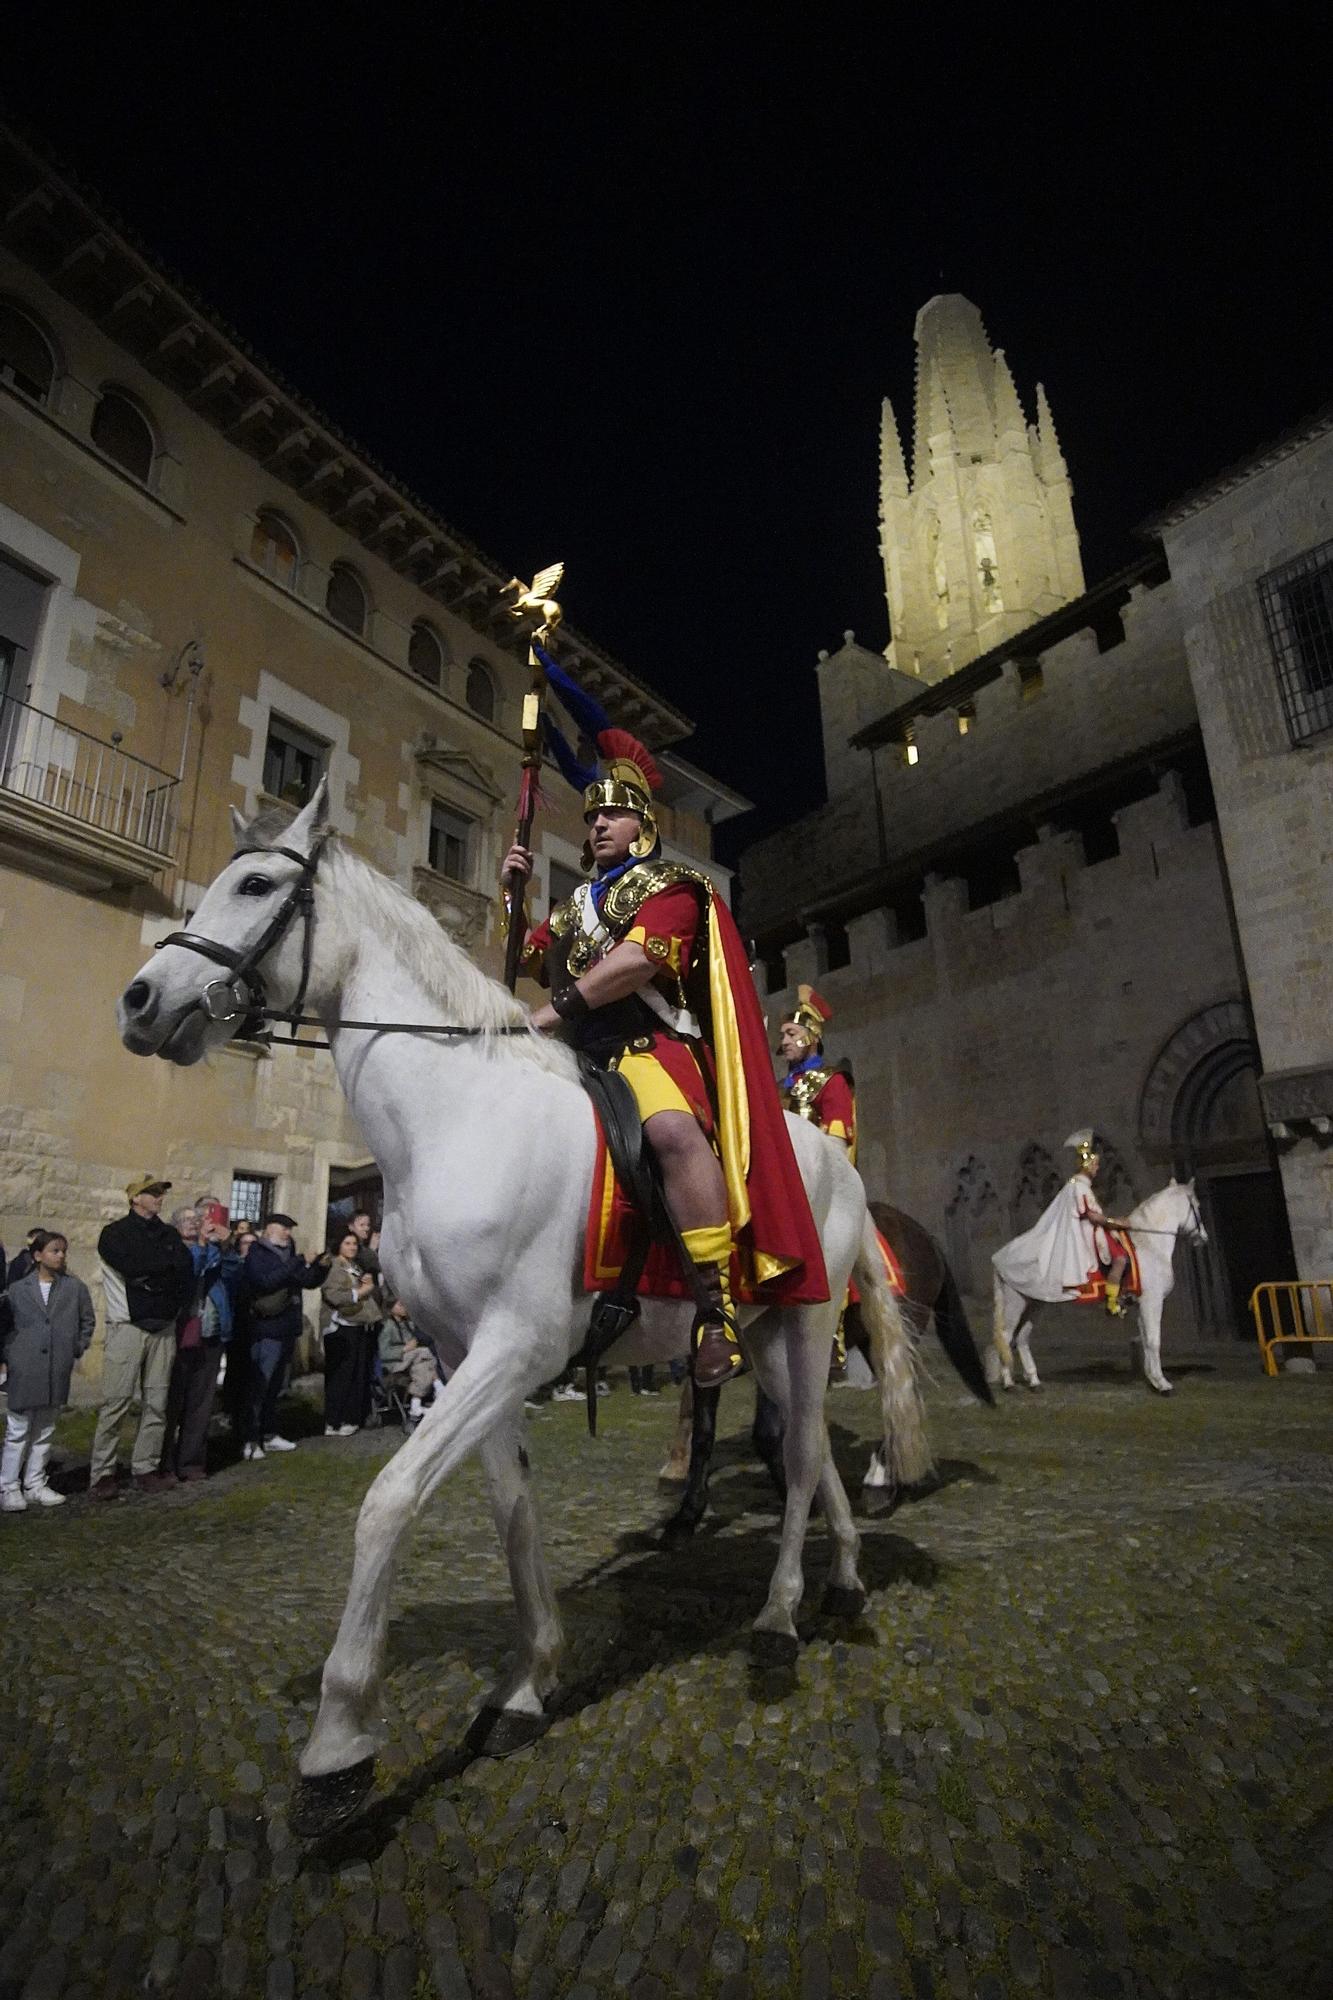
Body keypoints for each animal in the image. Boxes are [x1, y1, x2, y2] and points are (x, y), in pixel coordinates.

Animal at [116, 788, 924, 1832]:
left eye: (255, 884)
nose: (140, 1002)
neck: (455, 1116)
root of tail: (836, 1162)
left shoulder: (516, 1348)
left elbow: (389, 1501)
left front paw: (339, 1744)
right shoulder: (466, 1355)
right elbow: (511, 1509)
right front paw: (527, 1683)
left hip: (806, 1320)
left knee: (793, 1461)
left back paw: (780, 1614)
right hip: (772, 1337)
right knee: (814, 1448)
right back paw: (845, 1580)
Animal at [660, 1192, 984, 1536]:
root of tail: (926, 1238)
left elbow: (767, 1433)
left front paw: (803, 1501)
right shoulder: (706, 1360)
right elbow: (703, 1433)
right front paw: (685, 1516)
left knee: (901, 1399)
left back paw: (881, 1481)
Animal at [984, 1176, 1200, 1400]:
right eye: (1198, 1206)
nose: (1203, 1238)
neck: (1149, 1244)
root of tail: (999, 1255)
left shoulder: (1142, 1303)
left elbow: (1146, 1339)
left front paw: (1152, 1379)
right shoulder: (1152, 1301)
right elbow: (1153, 1340)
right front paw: (1162, 1384)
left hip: (1035, 1303)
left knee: (1022, 1337)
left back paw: (1034, 1382)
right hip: (1016, 1302)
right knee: (1006, 1336)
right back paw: (1009, 1384)